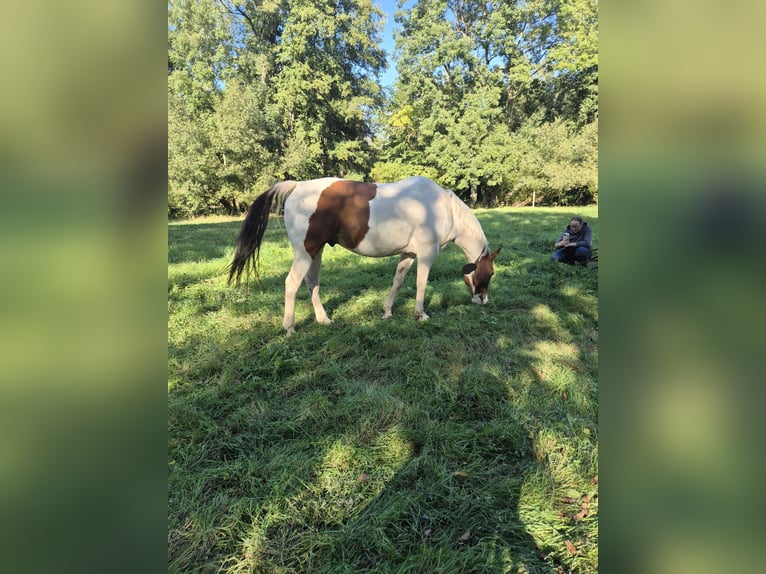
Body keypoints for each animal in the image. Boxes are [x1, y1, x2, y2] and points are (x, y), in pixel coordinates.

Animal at [228, 176, 501, 334]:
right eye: (490, 272)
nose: (483, 300)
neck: (443, 207)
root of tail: (297, 186)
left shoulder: (408, 253)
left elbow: (398, 281)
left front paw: (387, 311)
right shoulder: (426, 254)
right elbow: (421, 284)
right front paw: (421, 314)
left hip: (315, 252)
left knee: (311, 283)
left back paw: (323, 320)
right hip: (306, 252)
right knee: (292, 284)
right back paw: (290, 328)